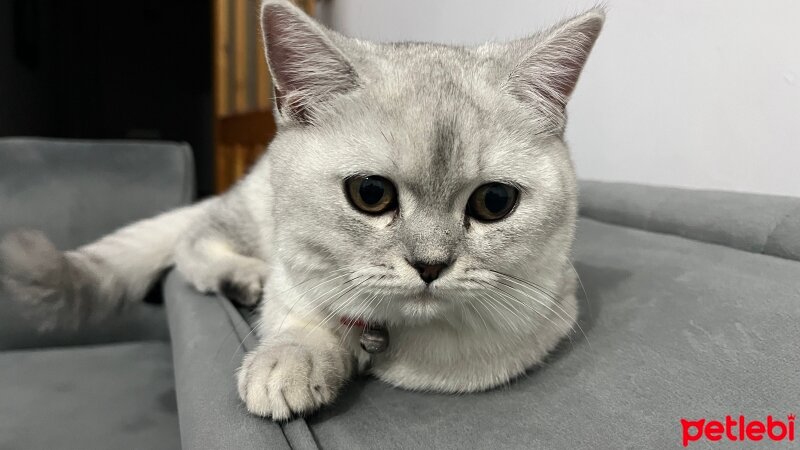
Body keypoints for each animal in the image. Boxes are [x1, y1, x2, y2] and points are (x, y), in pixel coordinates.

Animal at [0, 0, 600, 422]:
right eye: (370, 194)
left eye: (494, 203)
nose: (430, 266)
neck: (388, 336)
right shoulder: (298, 274)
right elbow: (303, 320)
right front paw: (289, 361)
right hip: (250, 215)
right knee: (194, 241)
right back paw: (242, 276)